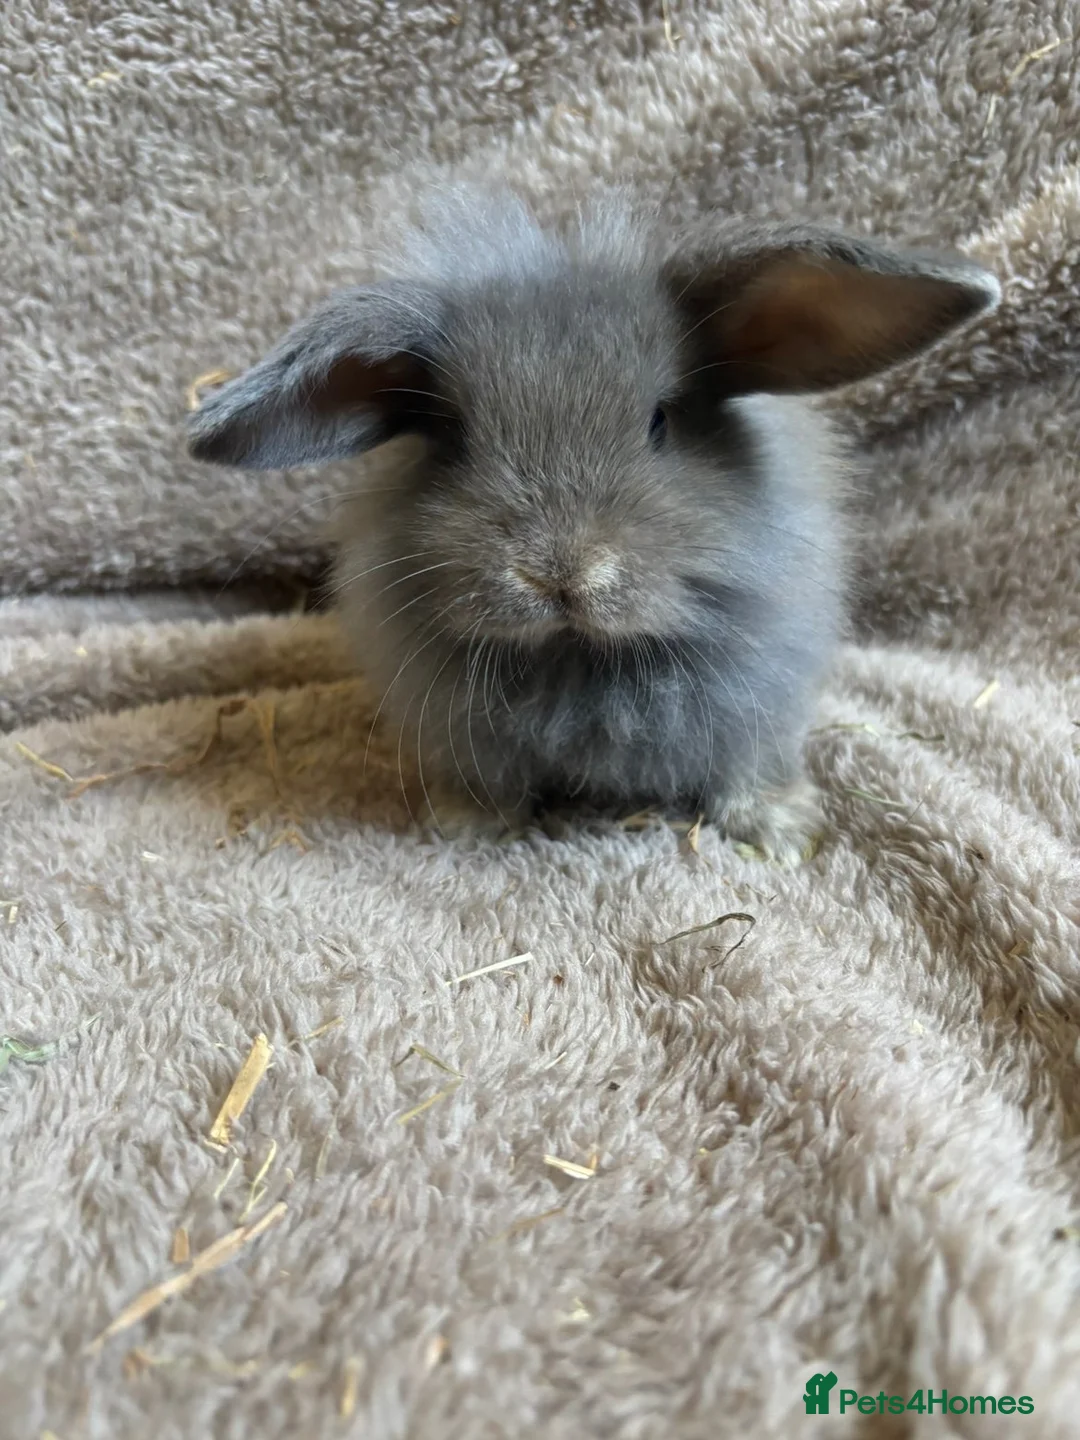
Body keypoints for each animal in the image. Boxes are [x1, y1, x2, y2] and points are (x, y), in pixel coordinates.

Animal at [188, 189, 999, 862]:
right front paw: (465, 827)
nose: (557, 572)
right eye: (454, 438)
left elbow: (750, 764)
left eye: (661, 422)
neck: (581, 659)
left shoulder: (761, 701)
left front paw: (781, 831)